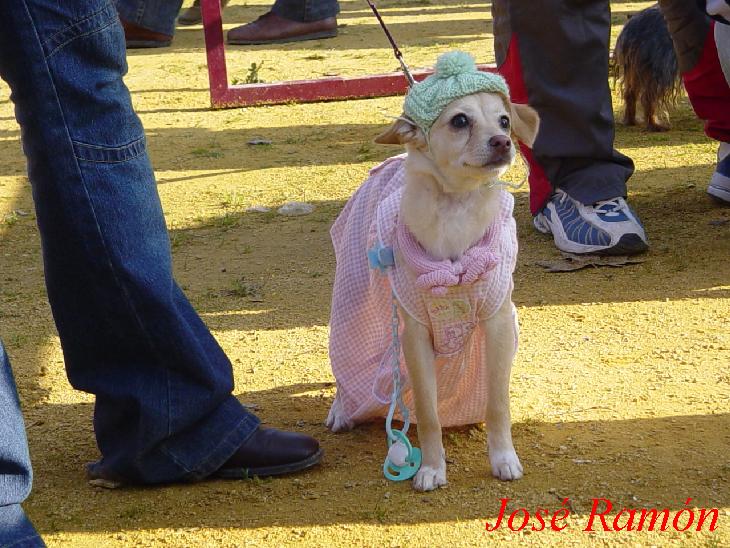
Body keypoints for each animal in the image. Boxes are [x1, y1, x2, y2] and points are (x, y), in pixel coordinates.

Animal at [328, 52, 536, 492]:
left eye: (504, 121)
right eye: (460, 120)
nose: (503, 142)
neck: (455, 209)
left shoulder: (497, 324)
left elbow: (498, 403)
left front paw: (503, 458)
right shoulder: (416, 336)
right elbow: (427, 412)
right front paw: (431, 469)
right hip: (356, 299)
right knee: (345, 364)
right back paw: (342, 410)